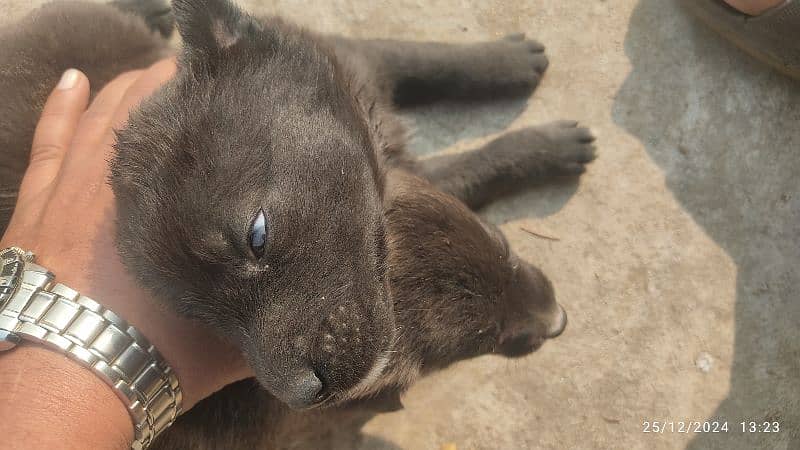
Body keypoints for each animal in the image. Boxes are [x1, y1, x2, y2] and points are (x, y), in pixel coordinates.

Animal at [0, 1, 592, 448]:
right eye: (194, 319)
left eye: (257, 236)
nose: (303, 392)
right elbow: (469, 165)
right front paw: (545, 146)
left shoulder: (356, 57)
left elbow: (418, 54)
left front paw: (509, 65)